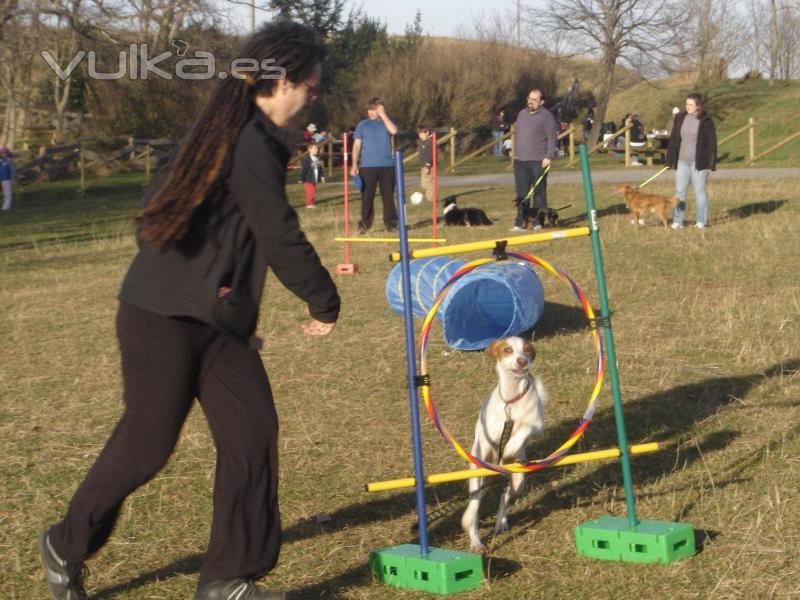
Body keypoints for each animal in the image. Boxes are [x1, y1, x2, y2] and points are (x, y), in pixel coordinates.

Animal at [460, 336, 548, 552]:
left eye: (527, 350)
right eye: (507, 349)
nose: (522, 361)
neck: (512, 399)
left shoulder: (537, 425)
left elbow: (523, 431)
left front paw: (510, 447)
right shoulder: (486, 438)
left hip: (518, 482)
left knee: (505, 496)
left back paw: (501, 522)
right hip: (476, 478)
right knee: (474, 508)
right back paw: (475, 541)